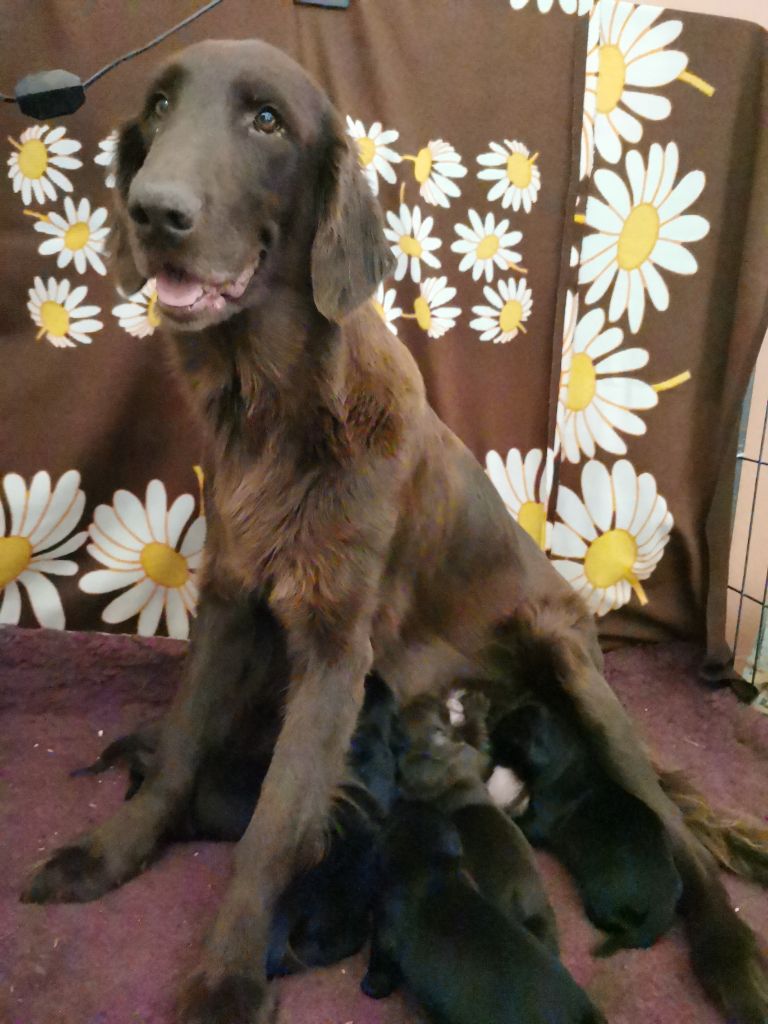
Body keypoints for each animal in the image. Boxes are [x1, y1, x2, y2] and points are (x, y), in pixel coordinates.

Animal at [489, 700, 684, 954]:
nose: (488, 734)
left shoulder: (540, 822)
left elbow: (517, 820)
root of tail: (666, 900)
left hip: (601, 897)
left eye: (504, 739)